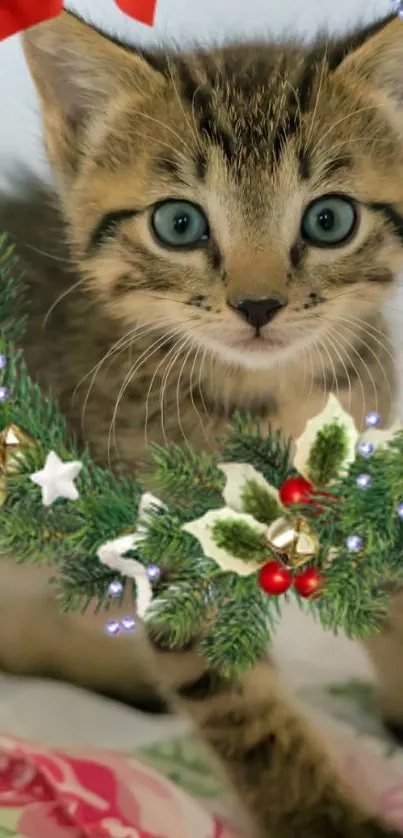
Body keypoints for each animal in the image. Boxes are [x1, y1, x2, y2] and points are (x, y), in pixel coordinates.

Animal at [0, 8, 403, 838]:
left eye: (329, 219)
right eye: (179, 223)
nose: (257, 304)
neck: (271, 400)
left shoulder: (365, 476)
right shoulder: (168, 550)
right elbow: (247, 714)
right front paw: (323, 818)